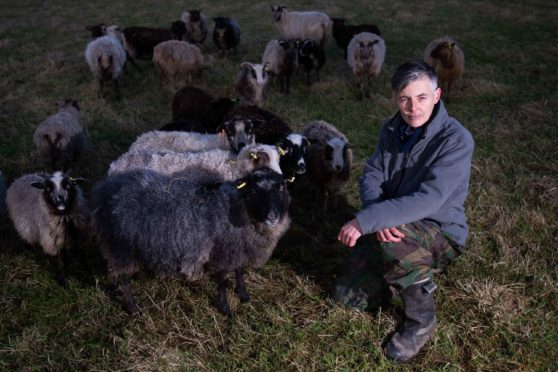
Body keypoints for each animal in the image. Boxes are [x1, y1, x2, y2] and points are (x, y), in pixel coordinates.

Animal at [91, 167, 294, 316]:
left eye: (281, 188)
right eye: (253, 190)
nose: (272, 217)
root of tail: (104, 190)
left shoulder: (238, 248)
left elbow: (240, 271)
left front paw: (243, 294)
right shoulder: (223, 253)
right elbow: (222, 281)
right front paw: (226, 309)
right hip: (120, 246)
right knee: (124, 278)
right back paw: (133, 308)